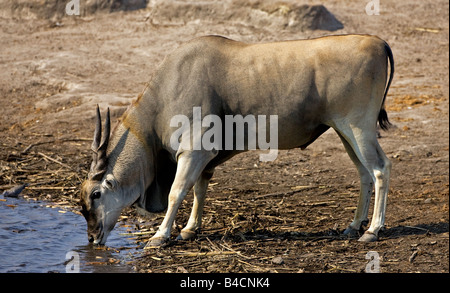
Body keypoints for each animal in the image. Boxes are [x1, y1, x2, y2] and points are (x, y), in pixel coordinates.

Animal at [80, 34, 394, 246]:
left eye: (96, 194)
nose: (93, 238)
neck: (164, 95)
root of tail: (378, 42)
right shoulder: (204, 159)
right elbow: (200, 189)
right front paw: (190, 229)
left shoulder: (194, 152)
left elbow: (177, 191)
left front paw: (160, 235)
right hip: (345, 132)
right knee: (363, 172)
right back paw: (354, 226)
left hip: (358, 128)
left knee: (380, 169)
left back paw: (372, 230)